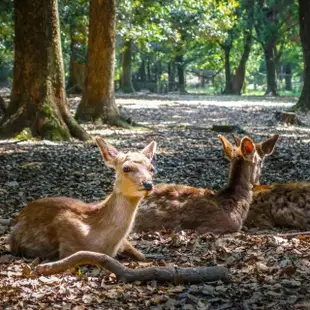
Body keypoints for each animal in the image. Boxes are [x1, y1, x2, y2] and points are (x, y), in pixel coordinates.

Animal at [9, 138, 157, 262]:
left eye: (152, 169)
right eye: (126, 168)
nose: (148, 184)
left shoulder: (125, 243)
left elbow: (142, 256)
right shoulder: (68, 246)